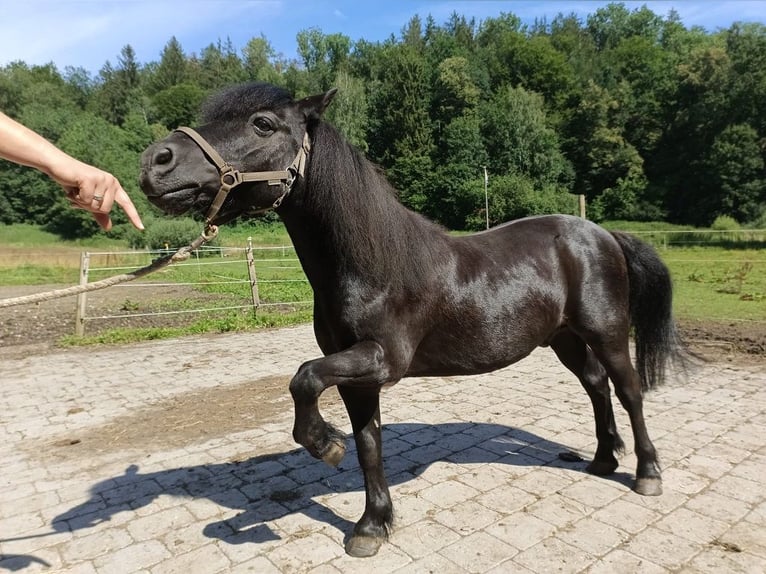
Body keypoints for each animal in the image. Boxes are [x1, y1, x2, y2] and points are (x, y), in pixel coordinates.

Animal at [141, 83, 688, 560]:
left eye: (262, 124)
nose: (155, 161)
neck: (372, 266)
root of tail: (603, 234)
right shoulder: (356, 375)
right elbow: (368, 443)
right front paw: (370, 525)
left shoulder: (381, 360)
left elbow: (304, 378)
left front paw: (324, 445)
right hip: (564, 339)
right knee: (596, 385)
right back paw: (602, 459)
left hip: (607, 332)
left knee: (628, 390)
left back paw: (647, 473)